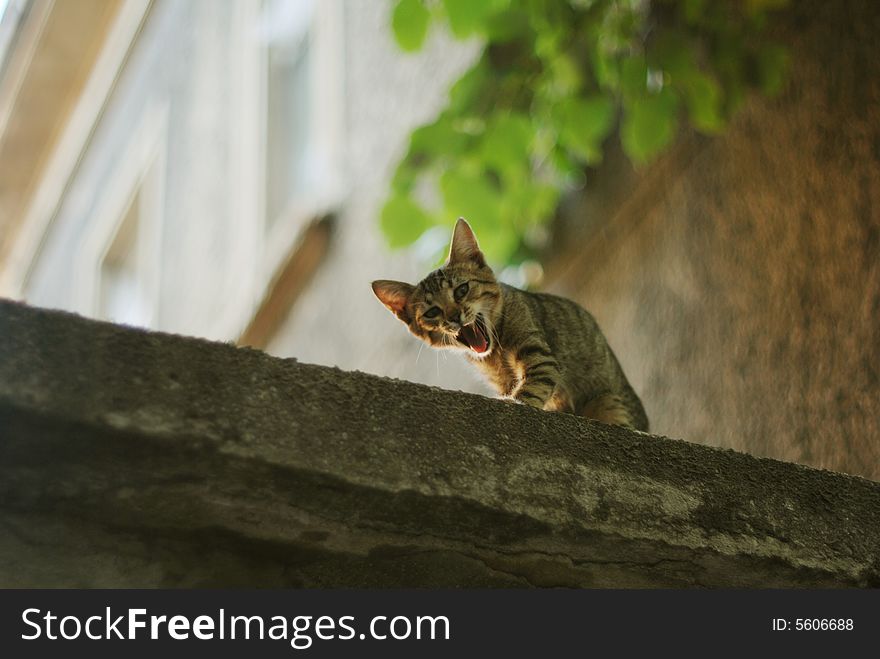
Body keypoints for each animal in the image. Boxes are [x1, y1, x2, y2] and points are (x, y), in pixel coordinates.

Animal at [370, 218, 648, 434]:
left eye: (462, 290)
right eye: (432, 312)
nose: (455, 316)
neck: (495, 357)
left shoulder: (539, 354)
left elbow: (532, 387)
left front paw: (514, 403)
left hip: (609, 400)